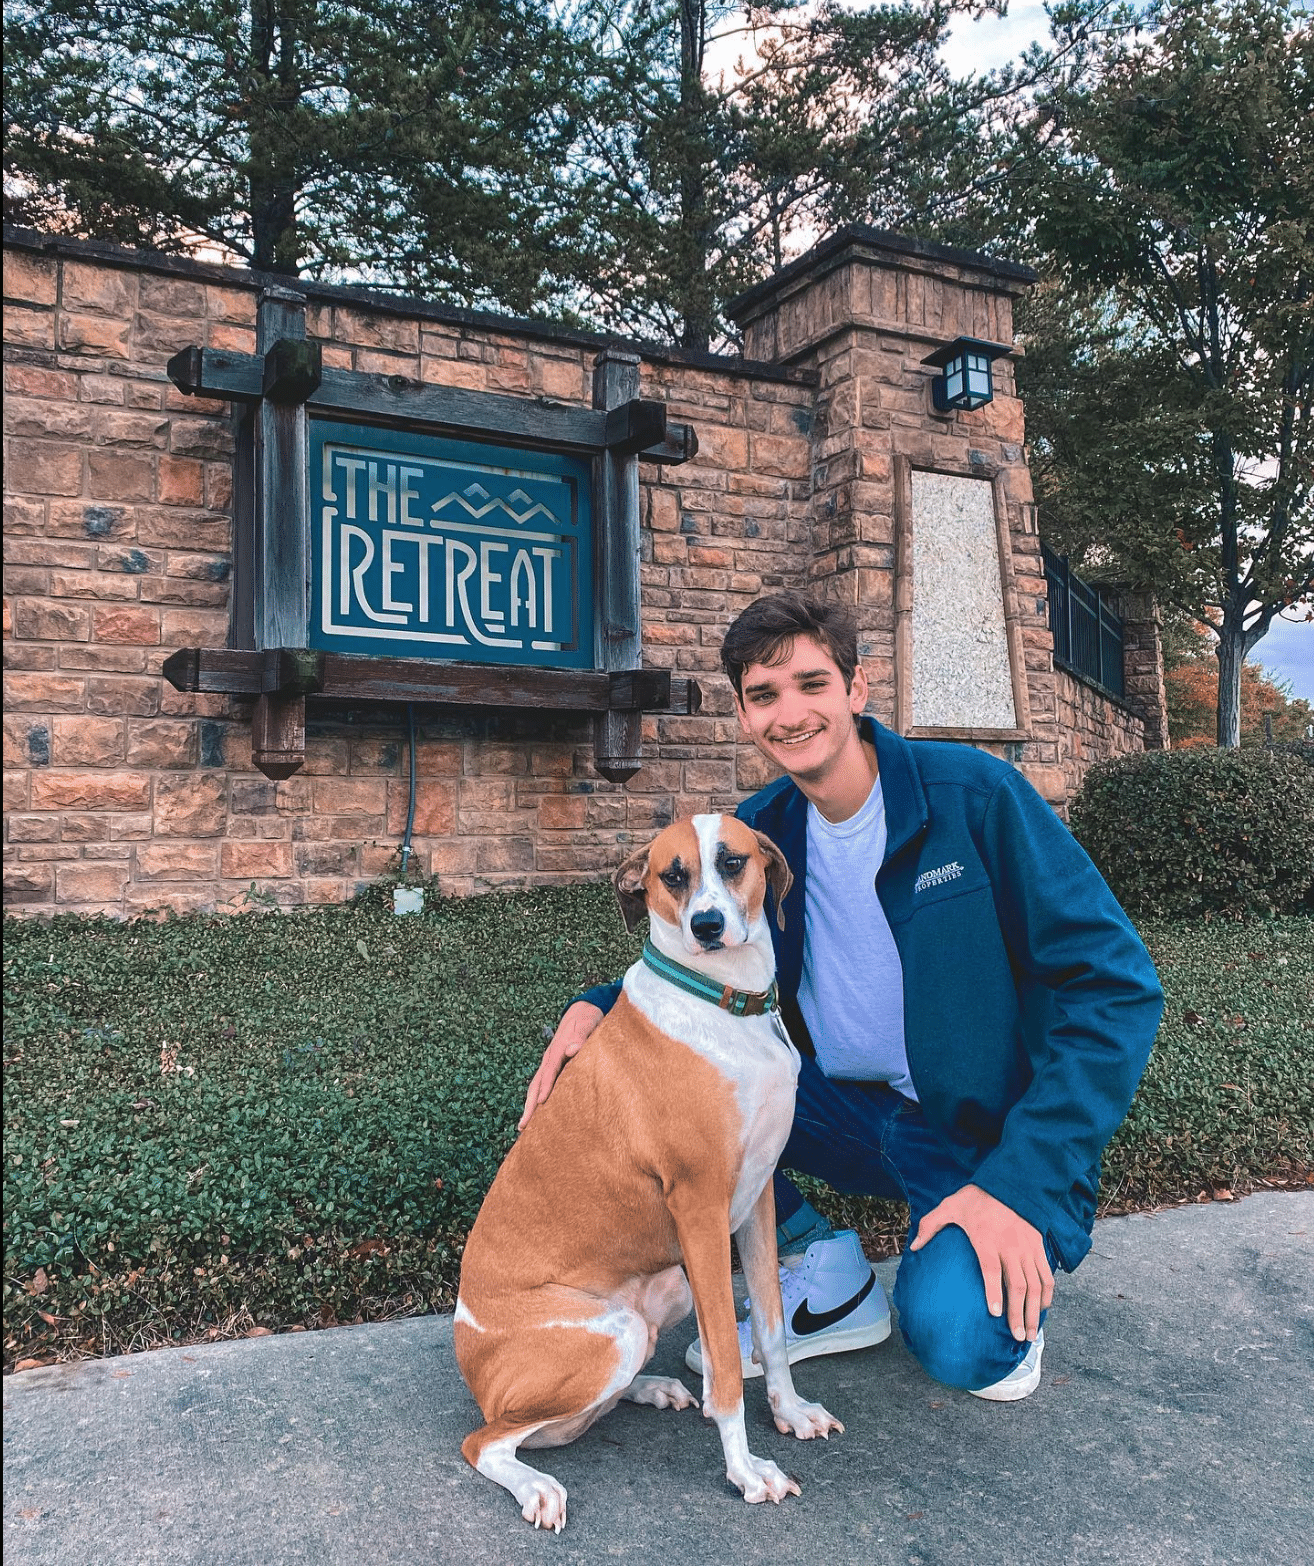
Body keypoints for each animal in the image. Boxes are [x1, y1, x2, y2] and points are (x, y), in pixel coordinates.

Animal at [451, 814, 845, 1534]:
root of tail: (475, 1372)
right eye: (672, 874)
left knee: (572, 1415)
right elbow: (727, 1370)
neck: (725, 1004)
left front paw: (791, 1412)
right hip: (613, 1331)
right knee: (491, 1440)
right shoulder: (701, 1210)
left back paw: (651, 1387)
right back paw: (534, 1485)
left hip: (666, 1287)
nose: (708, 927)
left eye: (733, 861)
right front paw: (746, 1471)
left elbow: (770, 1330)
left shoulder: (757, 1201)